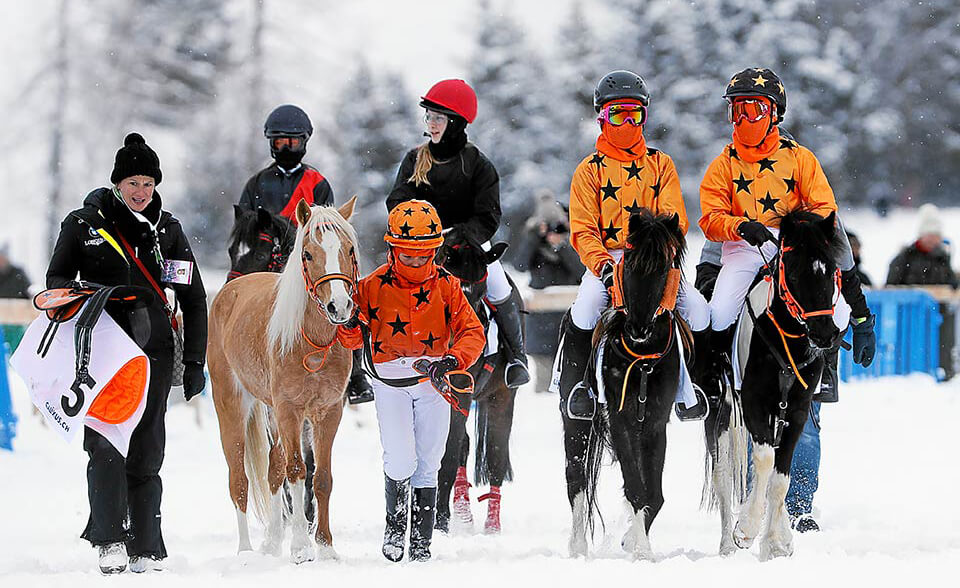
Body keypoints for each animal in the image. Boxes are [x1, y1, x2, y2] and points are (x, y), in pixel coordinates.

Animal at [208, 199, 358, 564]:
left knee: (272, 471)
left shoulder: (328, 412)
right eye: (307, 253)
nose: (339, 306)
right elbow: (296, 471)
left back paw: (273, 542)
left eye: (348, 249)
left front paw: (326, 546)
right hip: (232, 406)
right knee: (240, 481)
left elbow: (321, 478)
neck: (312, 343)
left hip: (272, 414)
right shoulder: (290, 411)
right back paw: (246, 551)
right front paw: (302, 548)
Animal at [436, 232, 520, 536]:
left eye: (481, 291)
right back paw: (462, 511)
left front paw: (440, 521)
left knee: (495, 452)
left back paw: (491, 523)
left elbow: (447, 454)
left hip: (501, 397)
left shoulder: (460, 393)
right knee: (464, 445)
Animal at [568, 209, 688, 560]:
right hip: (576, 424)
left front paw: (634, 542)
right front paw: (642, 551)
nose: (637, 328)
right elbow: (635, 487)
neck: (643, 358)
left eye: (664, 267)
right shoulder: (620, 418)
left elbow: (653, 493)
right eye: (631, 264)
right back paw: (577, 547)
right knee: (576, 479)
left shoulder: (655, 423)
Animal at [708, 208, 844, 560]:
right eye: (793, 273)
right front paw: (746, 529)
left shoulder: (796, 410)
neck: (786, 341)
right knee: (723, 474)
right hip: (723, 415)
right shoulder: (754, 403)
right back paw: (727, 543)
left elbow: (781, 477)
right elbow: (765, 460)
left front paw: (774, 542)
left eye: (830, 271)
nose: (824, 334)